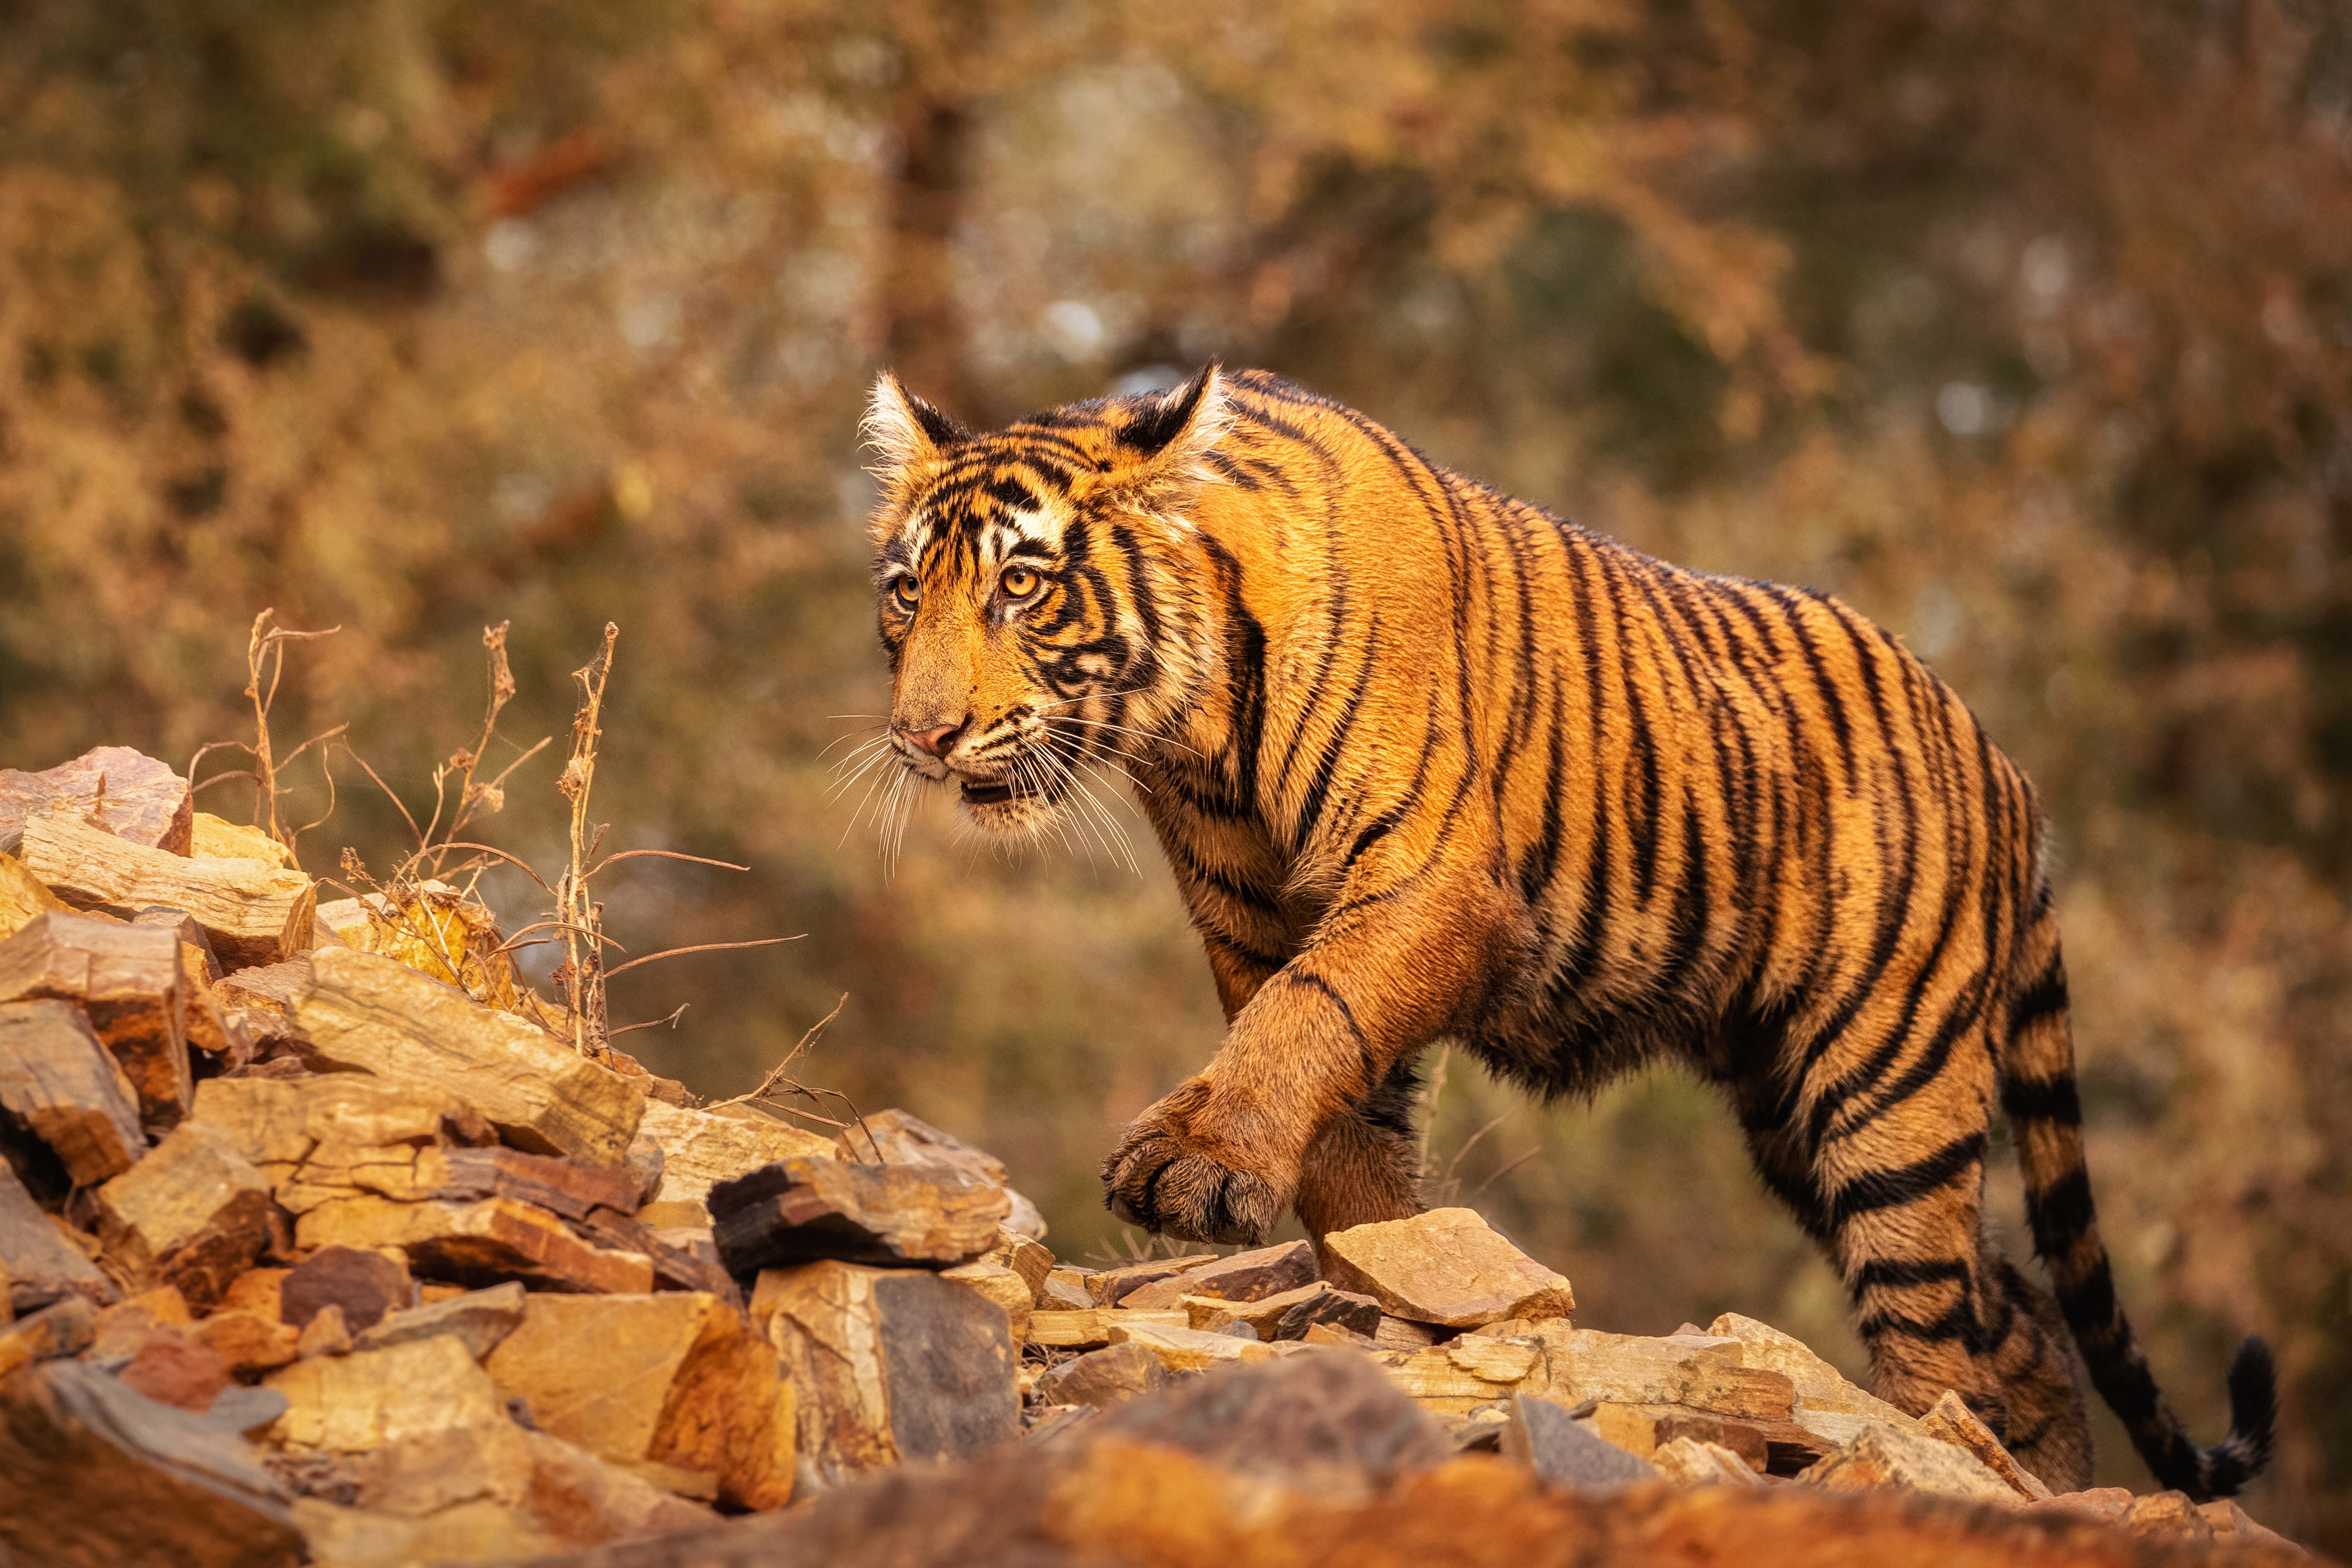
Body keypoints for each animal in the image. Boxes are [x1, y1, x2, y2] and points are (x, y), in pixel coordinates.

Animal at [865, 362, 2277, 1504]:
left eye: (1022, 588)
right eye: (903, 596)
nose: (919, 737)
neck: (1196, 727)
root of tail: (2007, 767)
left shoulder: (1430, 878)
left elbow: (1307, 1013)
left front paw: (1197, 1163)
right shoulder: (1249, 914)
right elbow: (1337, 1113)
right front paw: (1380, 1284)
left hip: (1889, 1091)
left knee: (1949, 1333)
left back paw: (1969, 1473)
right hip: (1792, 1106)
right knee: (2021, 1311)